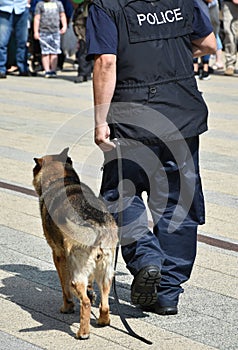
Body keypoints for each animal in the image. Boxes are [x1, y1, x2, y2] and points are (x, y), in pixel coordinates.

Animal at [32, 148, 118, 340]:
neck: (62, 180)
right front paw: (90, 292)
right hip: (106, 273)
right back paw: (103, 321)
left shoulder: (58, 256)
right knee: (105, 304)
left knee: (85, 302)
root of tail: (96, 225)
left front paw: (67, 307)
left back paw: (83, 332)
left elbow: (64, 288)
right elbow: (90, 287)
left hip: (76, 273)